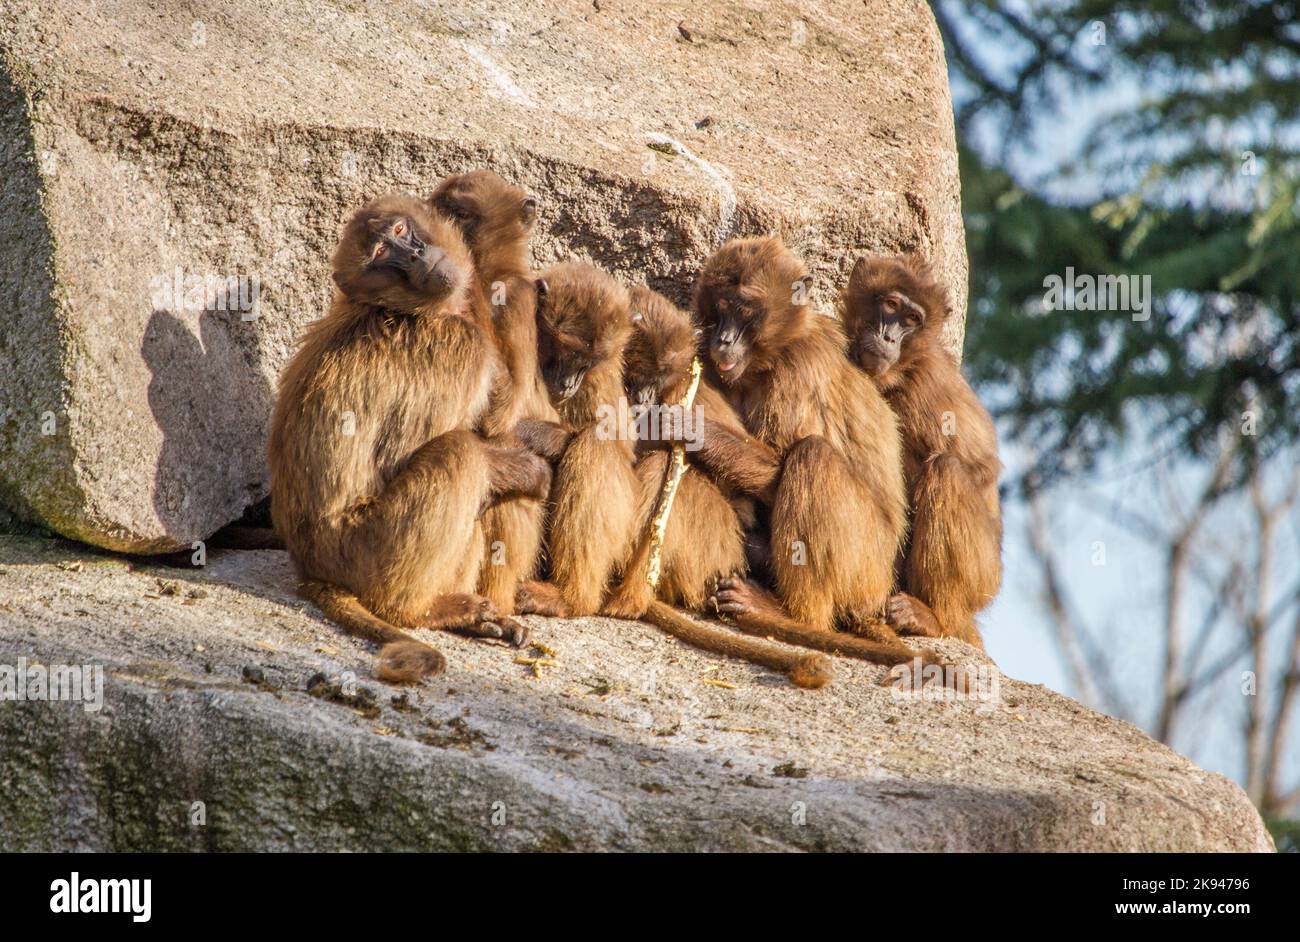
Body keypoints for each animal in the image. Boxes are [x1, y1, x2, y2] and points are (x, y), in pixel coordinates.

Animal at [269, 194, 548, 680]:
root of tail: (310, 566)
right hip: (365, 549)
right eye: (382, 254)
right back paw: (414, 611)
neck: (408, 312)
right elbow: (414, 452)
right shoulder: (461, 348)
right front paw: (530, 469)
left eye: (400, 231)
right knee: (460, 453)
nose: (416, 255)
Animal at [540, 267, 832, 686]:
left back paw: (627, 600)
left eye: (658, 377)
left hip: (714, 540)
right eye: (635, 374)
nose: (644, 400)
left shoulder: (681, 389)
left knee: (665, 469)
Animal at [691, 239, 946, 670]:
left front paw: (686, 427)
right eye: (722, 304)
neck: (781, 347)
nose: (723, 340)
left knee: (813, 455)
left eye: (745, 309)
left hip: (863, 563)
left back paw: (792, 614)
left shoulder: (798, 370)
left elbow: (780, 467)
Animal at [842, 252, 1003, 647]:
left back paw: (935, 619)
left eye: (912, 320)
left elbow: (980, 467)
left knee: (947, 470)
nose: (887, 336)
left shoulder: (926, 387)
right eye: (890, 304)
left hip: (984, 578)